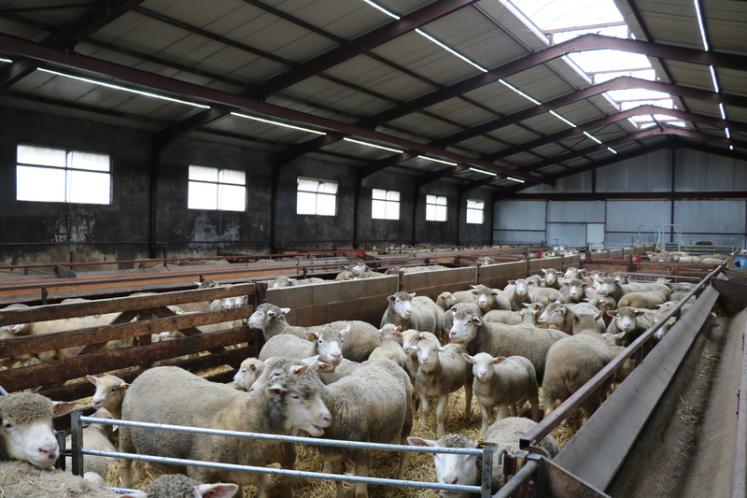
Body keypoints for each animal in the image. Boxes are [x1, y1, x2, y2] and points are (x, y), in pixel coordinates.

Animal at [119, 360, 330, 496]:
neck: (246, 417)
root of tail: (148, 371)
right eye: (295, 396)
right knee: (125, 464)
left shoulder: (246, 473)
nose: (328, 418)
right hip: (126, 436)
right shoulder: (199, 472)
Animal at [320, 358, 418, 498]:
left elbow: (360, 493)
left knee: (406, 449)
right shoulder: (333, 454)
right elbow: (338, 480)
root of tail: (387, 360)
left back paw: (399, 479)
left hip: (407, 419)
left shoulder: (362, 455)